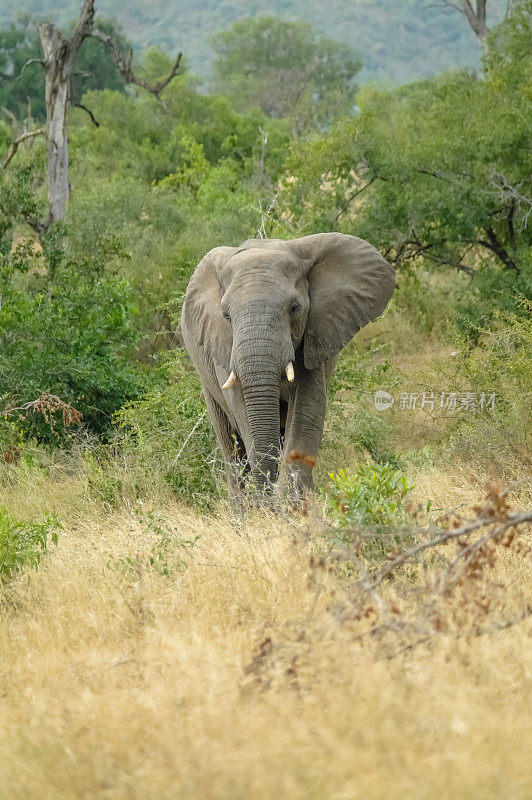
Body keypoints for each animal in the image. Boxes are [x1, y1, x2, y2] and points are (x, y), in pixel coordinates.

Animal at [181, 233, 392, 506]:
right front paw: (270, 507)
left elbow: (307, 410)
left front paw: (292, 506)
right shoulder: (224, 349)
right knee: (231, 447)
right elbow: (243, 414)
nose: (266, 501)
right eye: (226, 316)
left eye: (294, 308)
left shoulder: (314, 335)